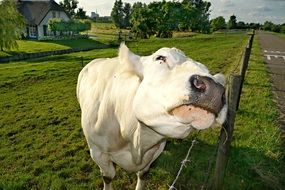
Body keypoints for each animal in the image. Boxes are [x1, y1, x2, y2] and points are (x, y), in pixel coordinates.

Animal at [76, 43, 227, 189]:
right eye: (160, 57)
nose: (214, 89)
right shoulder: (97, 152)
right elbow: (108, 177)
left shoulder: (155, 151)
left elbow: (143, 174)